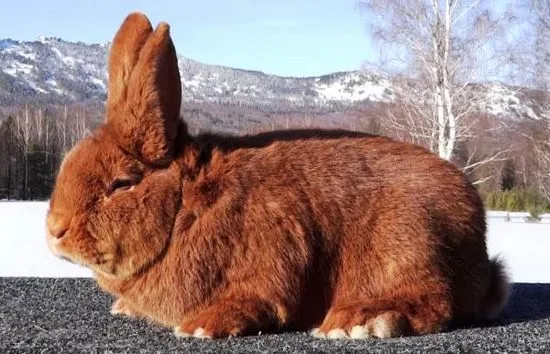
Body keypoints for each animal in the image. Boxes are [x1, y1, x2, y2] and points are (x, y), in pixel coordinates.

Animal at [45, 12, 512, 338]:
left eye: (121, 183)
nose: (54, 230)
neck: (186, 206)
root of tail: (477, 242)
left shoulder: (273, 254)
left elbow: (263, 298)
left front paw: (202, 325)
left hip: (408, 240)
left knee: (434, 301)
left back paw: (361, 322)